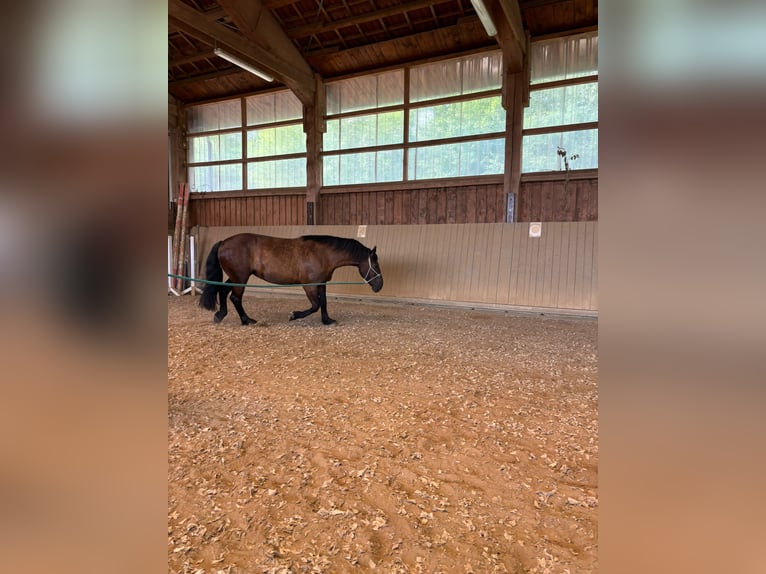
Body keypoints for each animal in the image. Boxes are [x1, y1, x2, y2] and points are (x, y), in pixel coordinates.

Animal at [199, 233, 383, 325]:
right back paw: (246, 320)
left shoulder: (321, 283)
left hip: (236, 277)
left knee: (223, 291)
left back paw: (220, 315)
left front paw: (327, 320)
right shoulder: (309, 285)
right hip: (240, 278)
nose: (380, 286)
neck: (322, 253)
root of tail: (224, 242)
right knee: (235, 298)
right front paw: (294, 315)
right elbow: (315, 305)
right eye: (375, 264)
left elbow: (323, 302)